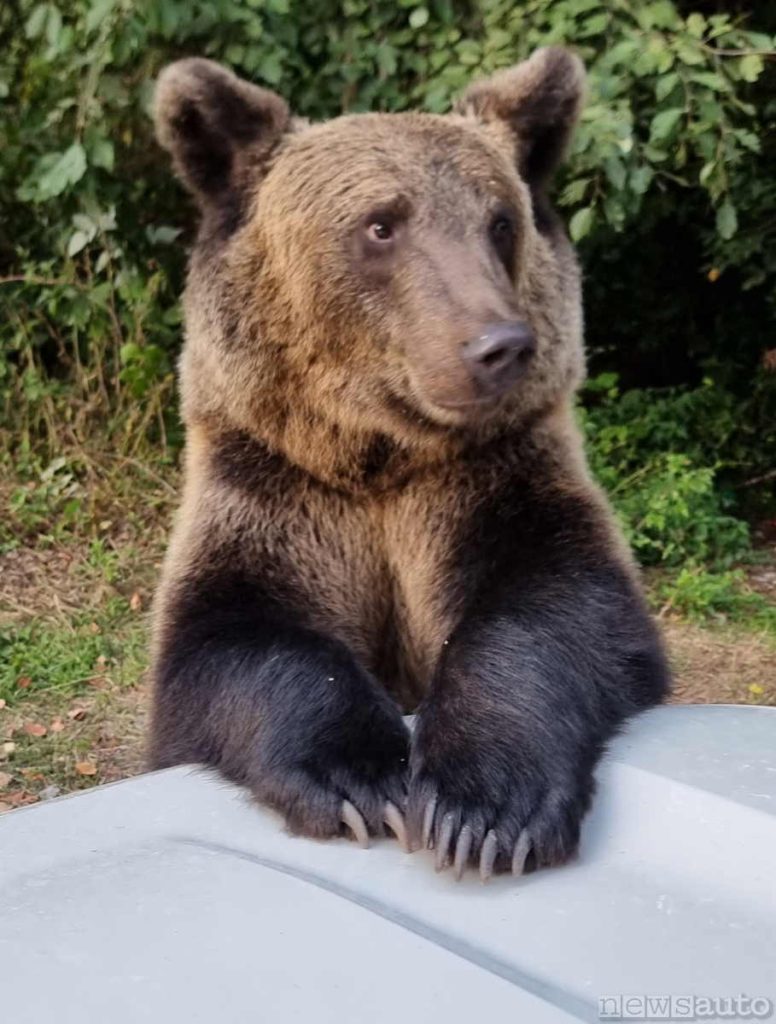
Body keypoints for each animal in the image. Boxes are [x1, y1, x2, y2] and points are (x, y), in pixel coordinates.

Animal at [150, 48, 667, 880]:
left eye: (499, 220)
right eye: (380, 223)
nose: (499, 347)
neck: (384, 458)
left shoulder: (494, 479)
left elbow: (560, 606)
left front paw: (481, 806)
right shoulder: (274, 489)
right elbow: (228, 639)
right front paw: (365, 779)